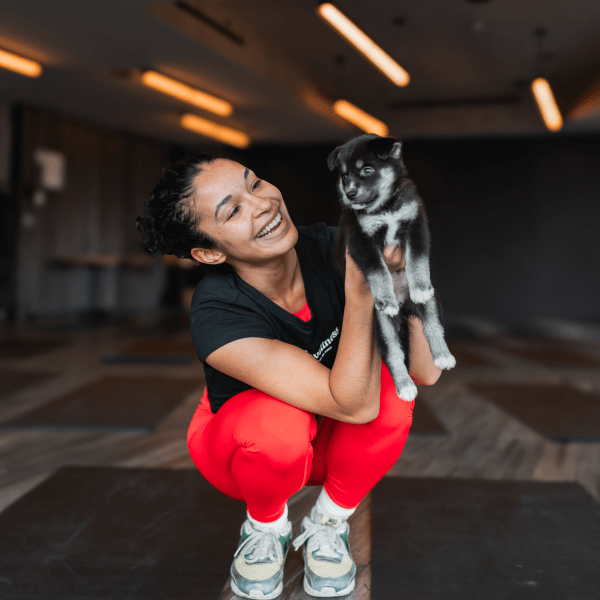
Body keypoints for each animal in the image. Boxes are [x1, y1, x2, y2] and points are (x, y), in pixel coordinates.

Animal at [328, 134, 454, 400]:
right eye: (344, 175)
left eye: (367, 170)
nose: (349, 193)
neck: (385, 208)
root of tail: (405, 308)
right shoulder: (361, 242)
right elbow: (379, 272)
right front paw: (386, 299)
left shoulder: (416, 224)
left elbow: (417, 260)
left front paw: (419, 286)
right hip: (382, 326)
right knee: (395, 354)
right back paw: (405, 386)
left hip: (432, 304)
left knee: (434, 327)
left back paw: (443, 356)